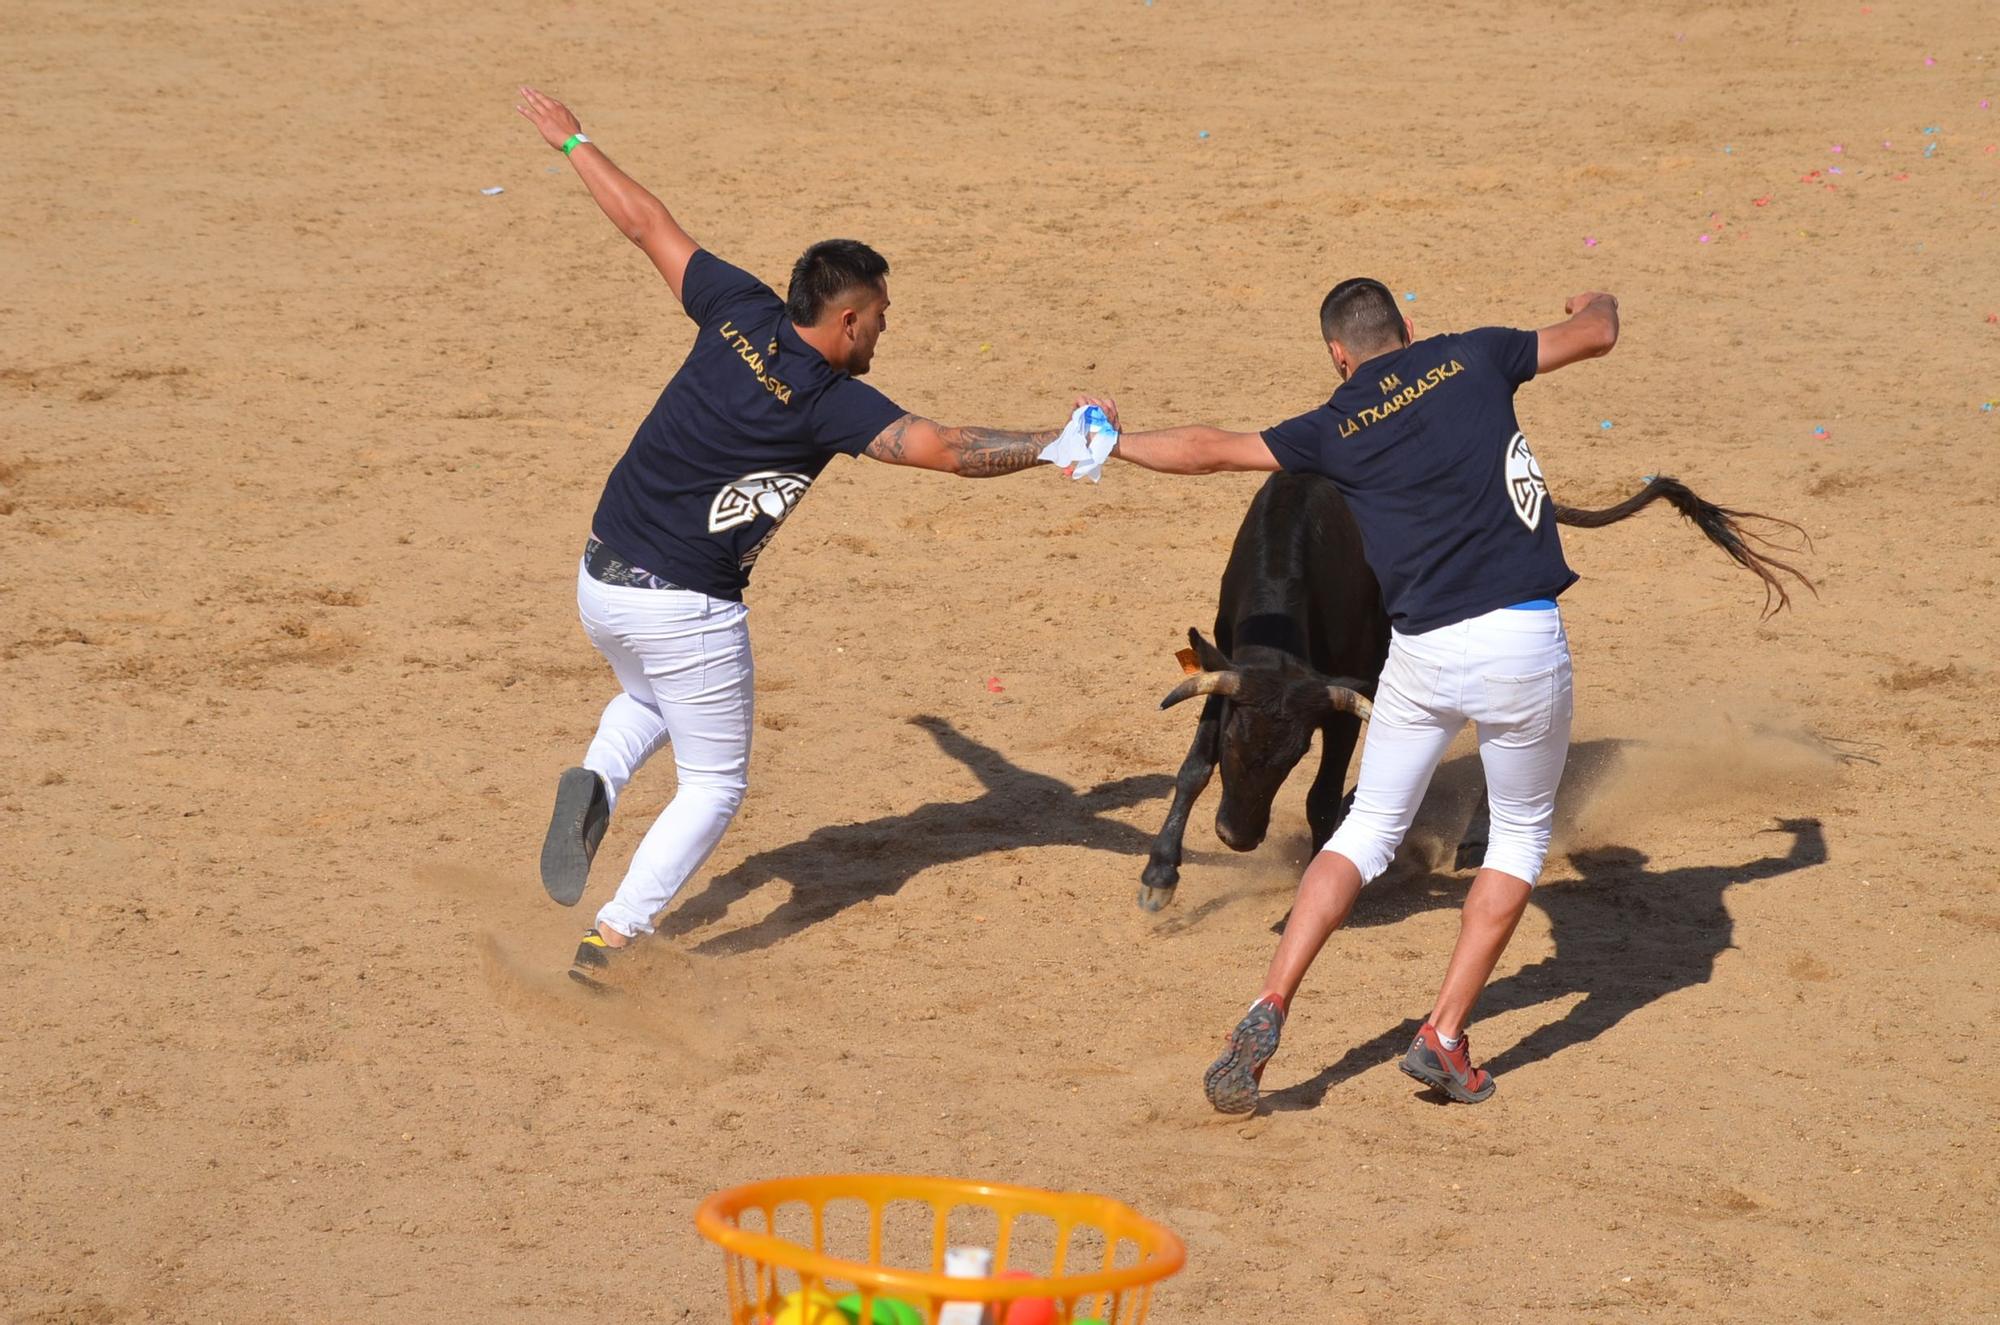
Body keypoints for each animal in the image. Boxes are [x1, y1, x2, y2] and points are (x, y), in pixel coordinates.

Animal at [1144, 474, 1816, 912]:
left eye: (1294, 754)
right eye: (1236, 743)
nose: (1237, 837)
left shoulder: (1342, 698)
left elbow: (1319, 795)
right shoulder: (1225, 667)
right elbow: (1193, 768)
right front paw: (1159, 874)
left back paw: (1471, 833)